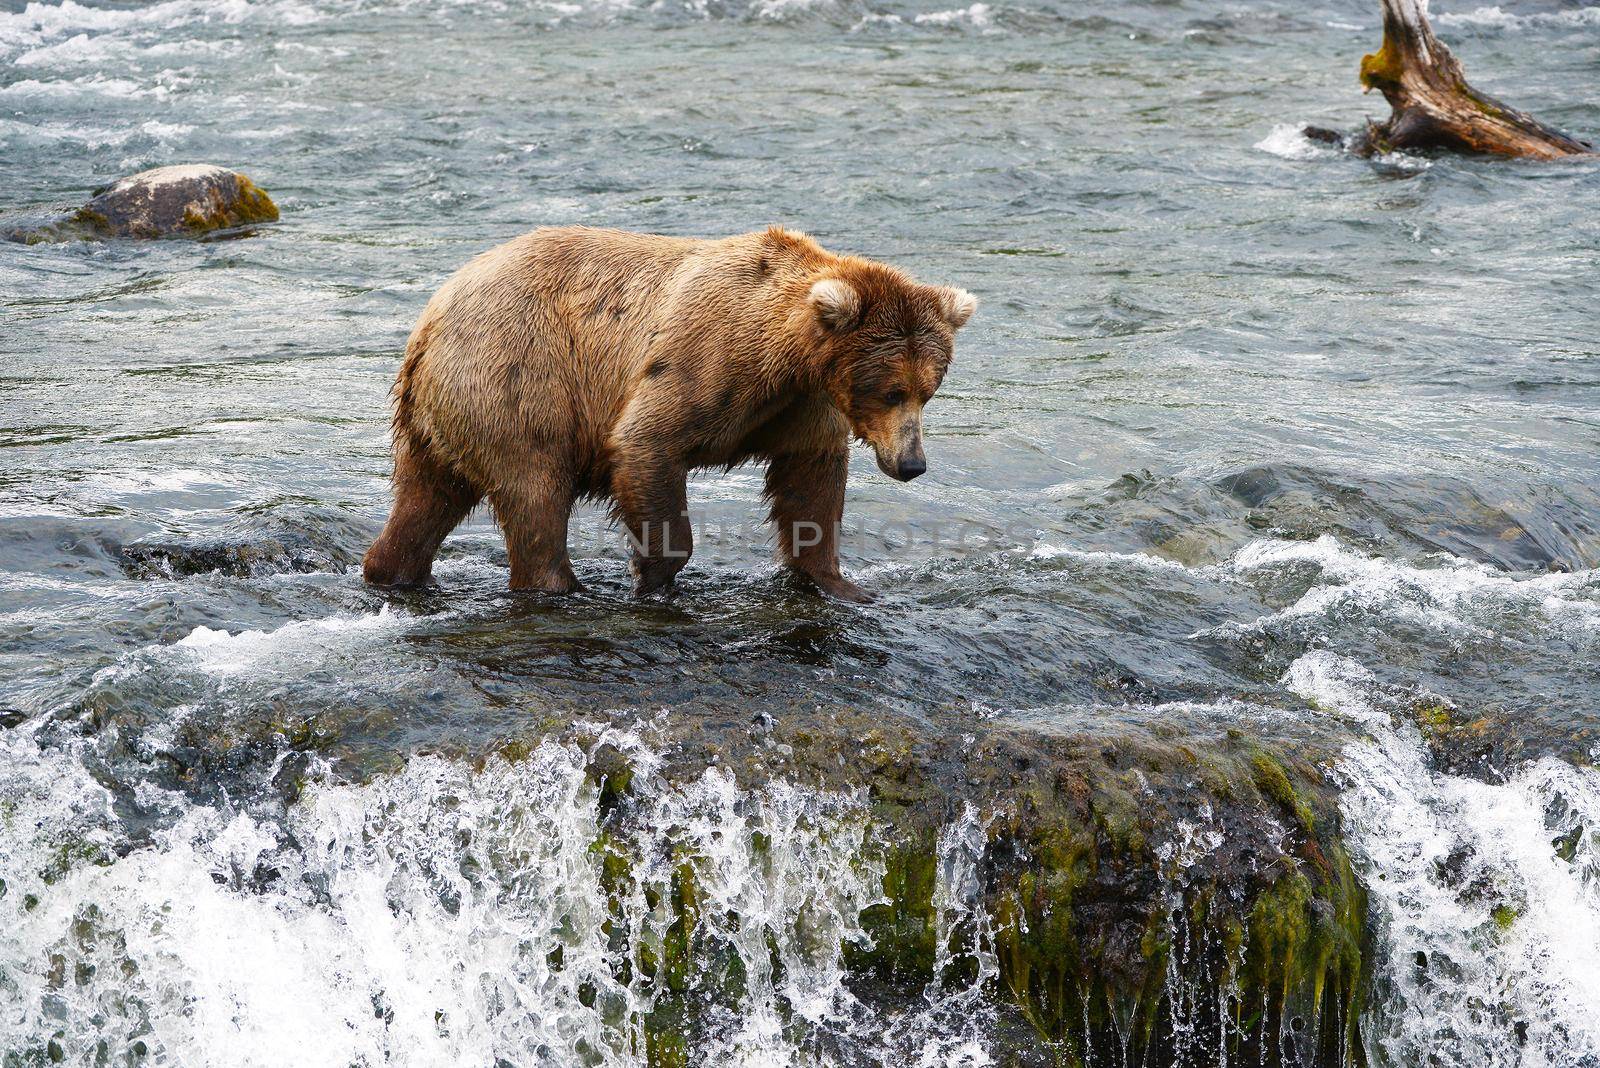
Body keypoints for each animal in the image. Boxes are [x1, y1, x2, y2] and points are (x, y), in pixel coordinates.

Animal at [363, 225, 972, 601]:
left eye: (928, 390)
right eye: (892, 391)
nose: (912, 464)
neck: (790, 355)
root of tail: (431, 317)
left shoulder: (798, 406)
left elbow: (811, 483)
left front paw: (841, 582)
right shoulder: (710, 359)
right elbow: (646, 441)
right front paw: (651, 571)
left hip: (438, 419)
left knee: (426, 498)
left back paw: (389, 570)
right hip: (517, 376)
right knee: (535, 488)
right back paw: (559, 585)